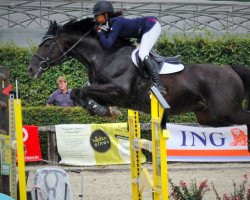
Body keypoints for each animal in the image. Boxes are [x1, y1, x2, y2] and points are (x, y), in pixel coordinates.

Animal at [27, 18, 250, 149]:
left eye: (47, 44)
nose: (31, 69)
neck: (106, 56)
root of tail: (230, 69)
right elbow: (78, 93)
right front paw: (101, 110)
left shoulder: (120, 91)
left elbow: (82, 90)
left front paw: (100, 110)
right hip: (210, 117)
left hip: (227, 111)